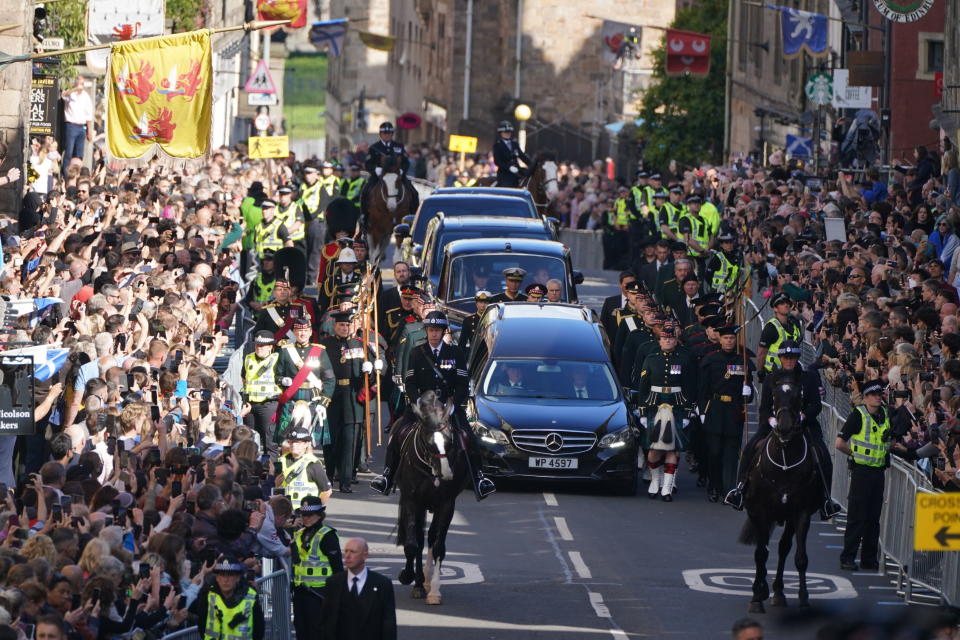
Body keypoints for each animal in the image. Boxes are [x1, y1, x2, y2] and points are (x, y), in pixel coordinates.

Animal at [394, 390, 468, 604]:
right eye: (429, 443)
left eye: (449, 441)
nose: (447, 474)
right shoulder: (411, 501)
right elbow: (412, 544)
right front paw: (408, 576)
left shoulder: (447, 504)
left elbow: (438, 547)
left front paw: (434, 590)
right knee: (418, 538)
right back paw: (419, 581)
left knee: (432, 536)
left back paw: (426, 579)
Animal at [740, 380, 820, 616]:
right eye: (774, 396)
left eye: (798, 396)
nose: (784, 428)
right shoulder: (758, 511)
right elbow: (760, 553)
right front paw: (756, 597)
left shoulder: (801, 513)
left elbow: (800, 558)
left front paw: (803, 598)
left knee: (783, 547)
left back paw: (778, 592)